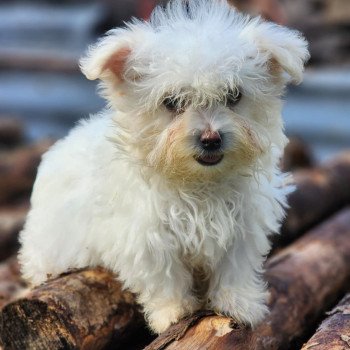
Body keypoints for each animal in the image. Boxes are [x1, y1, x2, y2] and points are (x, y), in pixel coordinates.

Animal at [19, 0, 308, 334]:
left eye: (233, 95)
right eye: (171, 102)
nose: (211, 138)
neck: (199, 184)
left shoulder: (242, 225)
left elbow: (234, 267)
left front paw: (238, 304)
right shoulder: (146, 235)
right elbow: (163, 276)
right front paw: (173, 312)